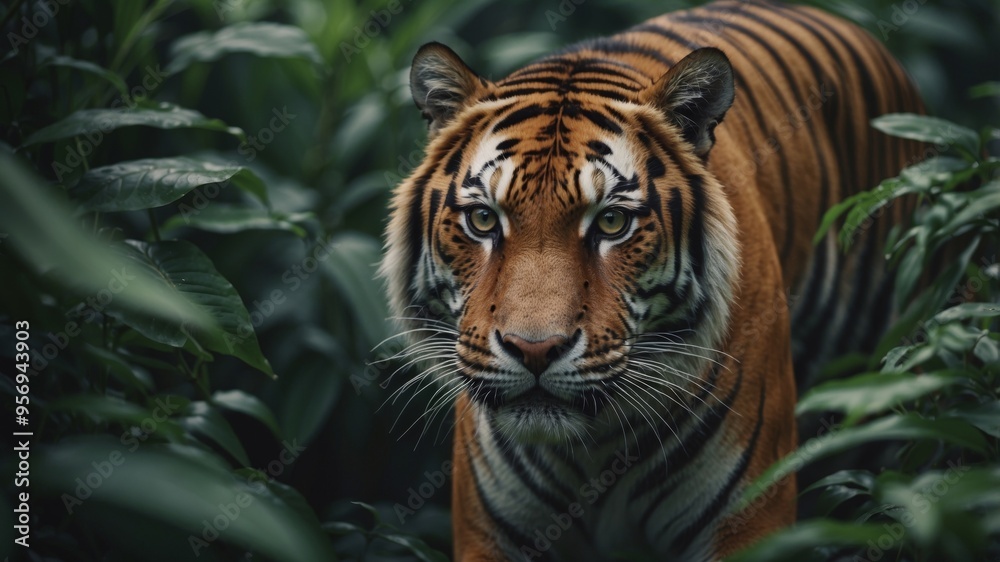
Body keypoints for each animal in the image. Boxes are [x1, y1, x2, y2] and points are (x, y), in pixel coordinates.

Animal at [380, 0, 924, 559]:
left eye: (611, 223)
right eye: (484, 220)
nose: (535, 350)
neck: (593, 450)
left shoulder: (747, 520)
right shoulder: (490, 534)